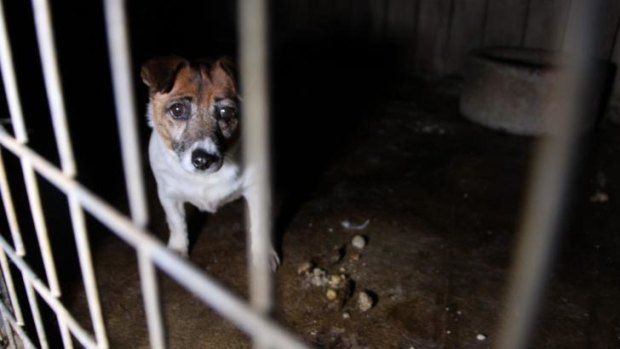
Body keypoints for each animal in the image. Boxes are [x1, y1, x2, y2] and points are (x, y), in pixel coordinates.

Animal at [142, 55, 280, 270]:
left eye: (226, 112)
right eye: (177, 110)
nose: (203, 160)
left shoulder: (257, 190)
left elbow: (259, 225)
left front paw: (262, 254)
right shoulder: (168, 195)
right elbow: (176, 223)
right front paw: (178, 251)